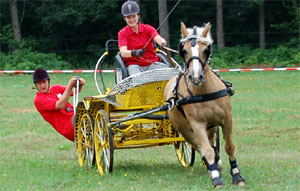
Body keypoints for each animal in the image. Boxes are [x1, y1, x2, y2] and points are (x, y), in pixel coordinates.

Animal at [164, 22, 246, 188]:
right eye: (185, 50)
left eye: (205, 49)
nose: (196, 77)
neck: (204, 91)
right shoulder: (197, 124)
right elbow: (207, 150)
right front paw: (216, 177)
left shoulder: (227, 119)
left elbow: (229, 146)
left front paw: (236, 174)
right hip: (186, 131)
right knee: (201, 147)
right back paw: (212, 167)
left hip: (211, 127)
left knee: (211, 145)